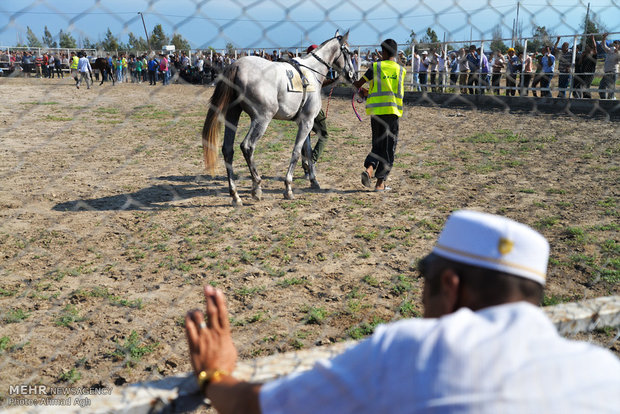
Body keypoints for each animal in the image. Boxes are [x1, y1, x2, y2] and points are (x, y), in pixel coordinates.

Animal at [203, 31, 356, 206]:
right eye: (349, 52)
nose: (353, 75)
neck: (312, 72)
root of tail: (237, 65)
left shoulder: (305, 122)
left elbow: (307, 151)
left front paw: (313, 180)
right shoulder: (307, 122)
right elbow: (296, 152)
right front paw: (288, 187)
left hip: (233, 115)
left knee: (228, 150)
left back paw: (235, 194)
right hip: (262, 119)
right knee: (247, 146)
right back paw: (256, 186)